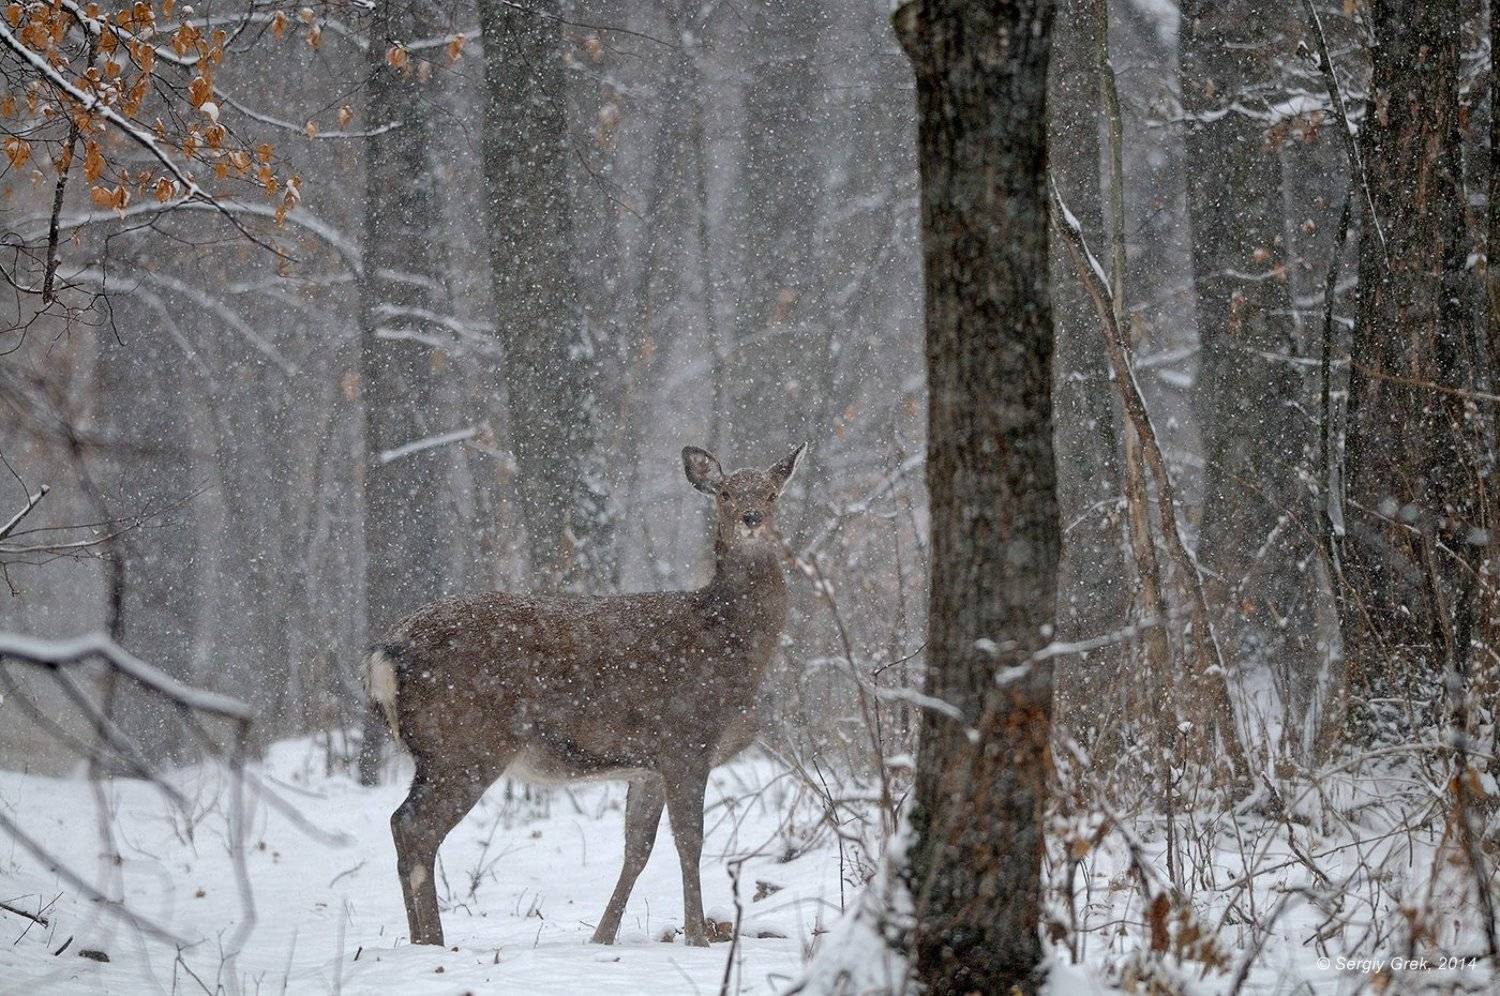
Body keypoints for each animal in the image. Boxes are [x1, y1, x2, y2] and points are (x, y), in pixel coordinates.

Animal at [362, 443, 805, 949]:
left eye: (771, 494)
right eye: (727, 493)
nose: (752, 518)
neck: (732, 642)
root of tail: (386, 654)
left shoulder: (648, 765)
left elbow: (638, 848)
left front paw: (602, 937)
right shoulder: (687, 739)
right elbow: (690, 841)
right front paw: (698, 938)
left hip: (441, 752)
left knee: (401, 825)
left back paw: (421, 941)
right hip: (465, 745)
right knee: (416, 828)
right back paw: (433, 942)